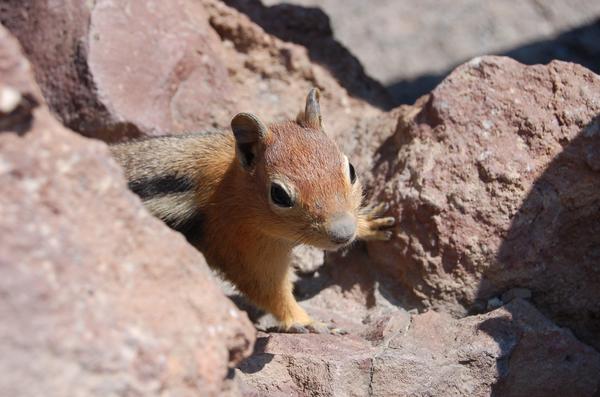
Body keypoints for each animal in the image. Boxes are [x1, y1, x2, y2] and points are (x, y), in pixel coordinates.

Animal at [110, 88, 396, 332]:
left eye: (352, 170)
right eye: (279, 195)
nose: (343, 233)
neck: (230, 188)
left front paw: (368, 223)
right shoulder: (244, 249)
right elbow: (269, 290)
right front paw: (306, 321)